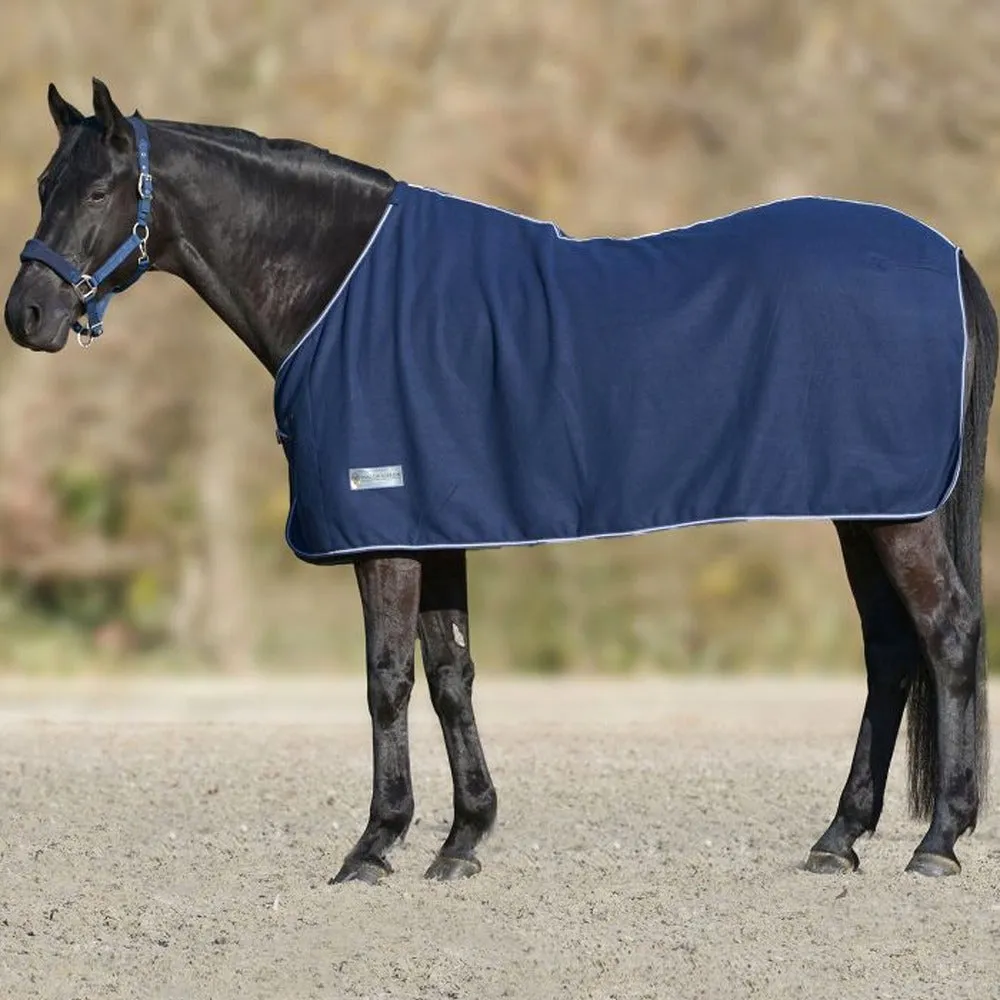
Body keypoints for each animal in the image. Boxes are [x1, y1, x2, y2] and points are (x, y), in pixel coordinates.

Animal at [5, 80, 996, 883]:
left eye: (98, 190)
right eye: (44, 185)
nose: (29, 314)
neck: (341, 289)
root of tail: (945, 254)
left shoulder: (386, 535)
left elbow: (387, 681)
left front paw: (375, 845)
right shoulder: (432, 527)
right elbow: (452, 676)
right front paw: (462, 840)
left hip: (897, 516)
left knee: (946, 634)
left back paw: (938, 841)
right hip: (866, 508)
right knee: (889, 651)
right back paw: (840, 839)